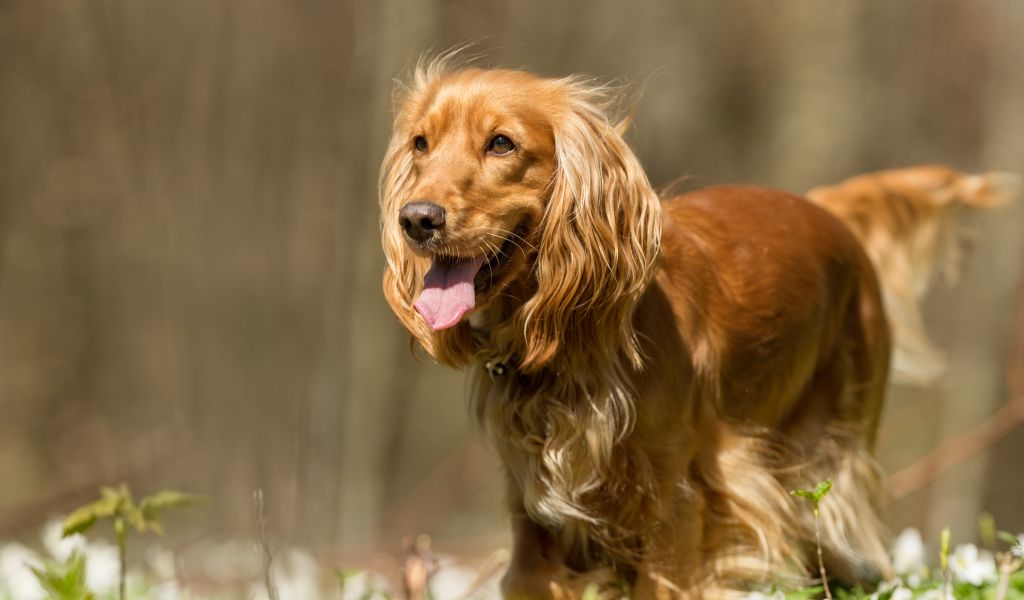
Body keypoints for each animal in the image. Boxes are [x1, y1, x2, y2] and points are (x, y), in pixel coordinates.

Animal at [378, 59, 1015, 593]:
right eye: (421, 143)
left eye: (502, 143)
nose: (416, 219)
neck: (570, 348)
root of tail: (826, 208)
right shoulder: (535, 523)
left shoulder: (675, 507)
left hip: (826, 467)